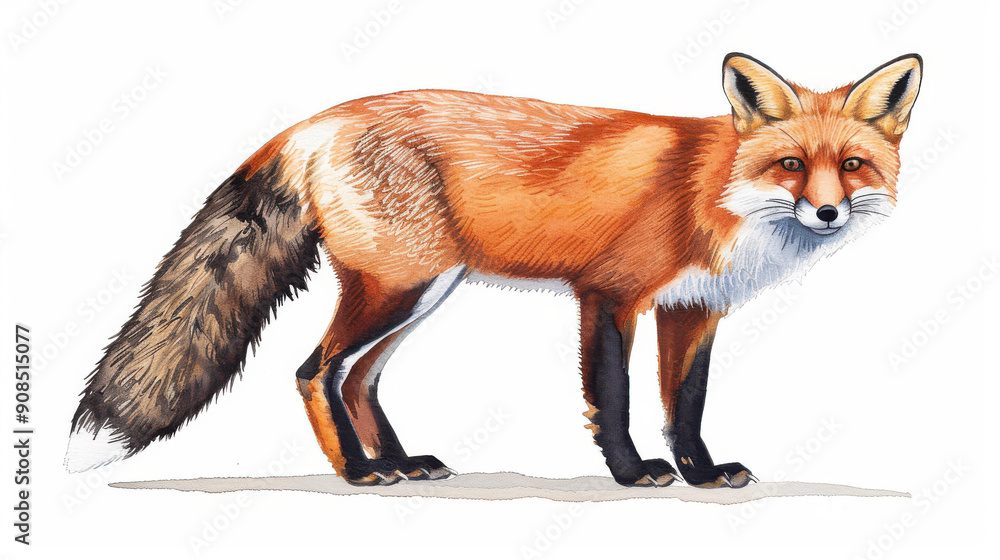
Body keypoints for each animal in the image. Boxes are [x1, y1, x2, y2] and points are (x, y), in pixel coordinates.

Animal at [66, 53, 922, 488]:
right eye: (791, 165)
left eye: (851, 166)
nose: (827, 214)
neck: (711, 191)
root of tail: (312, 123)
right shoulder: (609, 295)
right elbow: (614, 400)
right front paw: (633, 473)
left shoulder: (693, 311)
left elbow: (686, 407)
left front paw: (701, 474)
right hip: (397, 289)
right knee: (314, 371)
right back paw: (358, 474)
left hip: (419, 293)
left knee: (357, 378)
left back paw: (401, 462)